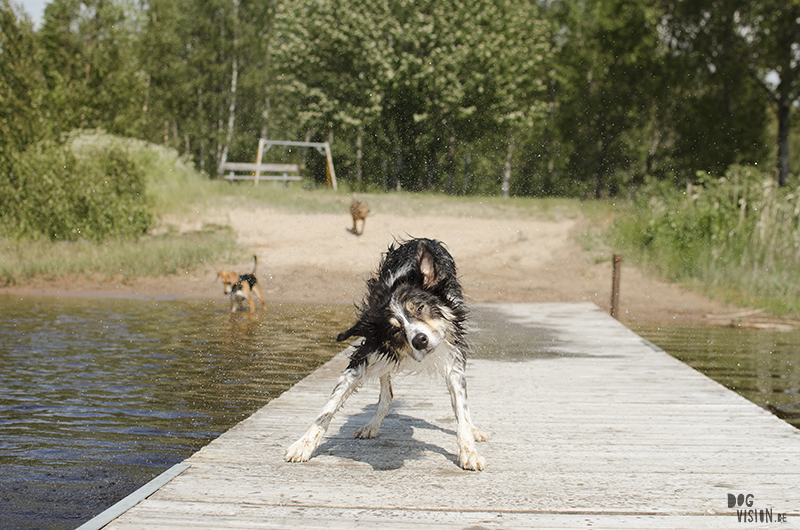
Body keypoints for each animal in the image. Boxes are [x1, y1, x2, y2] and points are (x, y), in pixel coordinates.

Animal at [288, 237, 488, 468]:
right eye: (394, 329)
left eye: (419, 308)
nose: (420, 340)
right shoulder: (368, 351)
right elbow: (327, 409)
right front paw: (303, 444)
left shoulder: (453, 356)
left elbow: (461, 410)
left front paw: (469, 451)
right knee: (387, 392)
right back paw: (372, 425)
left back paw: (474, 430)